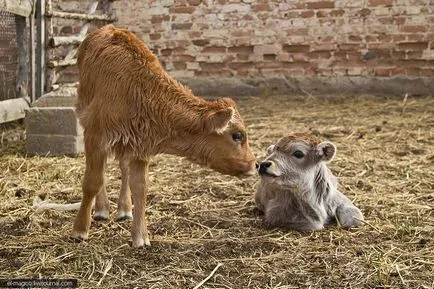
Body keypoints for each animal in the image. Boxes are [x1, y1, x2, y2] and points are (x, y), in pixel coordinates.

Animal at [72, 24, 256, 246]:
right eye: (237, 135)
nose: (255, 164)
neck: (138, 89)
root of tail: (108, 27)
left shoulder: (140, 147)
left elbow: (140, 187)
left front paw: (140, 237)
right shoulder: (95, 135)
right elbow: (92, 181)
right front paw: (80, 230)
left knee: (123, 168)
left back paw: (124, 208)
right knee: (101, 171)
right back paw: (101, 209)